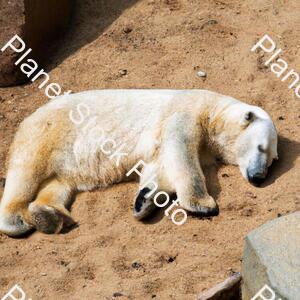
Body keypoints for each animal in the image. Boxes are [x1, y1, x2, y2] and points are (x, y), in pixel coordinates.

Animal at [0, 89, 278, 237]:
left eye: (272, 161)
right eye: (261, 147)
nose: (259, 177)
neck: (212, 112)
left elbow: (158, 167)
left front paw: (143, 201)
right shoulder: (184, 114)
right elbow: (181, 153)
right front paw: (203, 204)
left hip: (65, 161)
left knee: (57, 184)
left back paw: (49, 216)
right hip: (46, 133)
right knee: (26, 173)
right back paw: (18, 219)